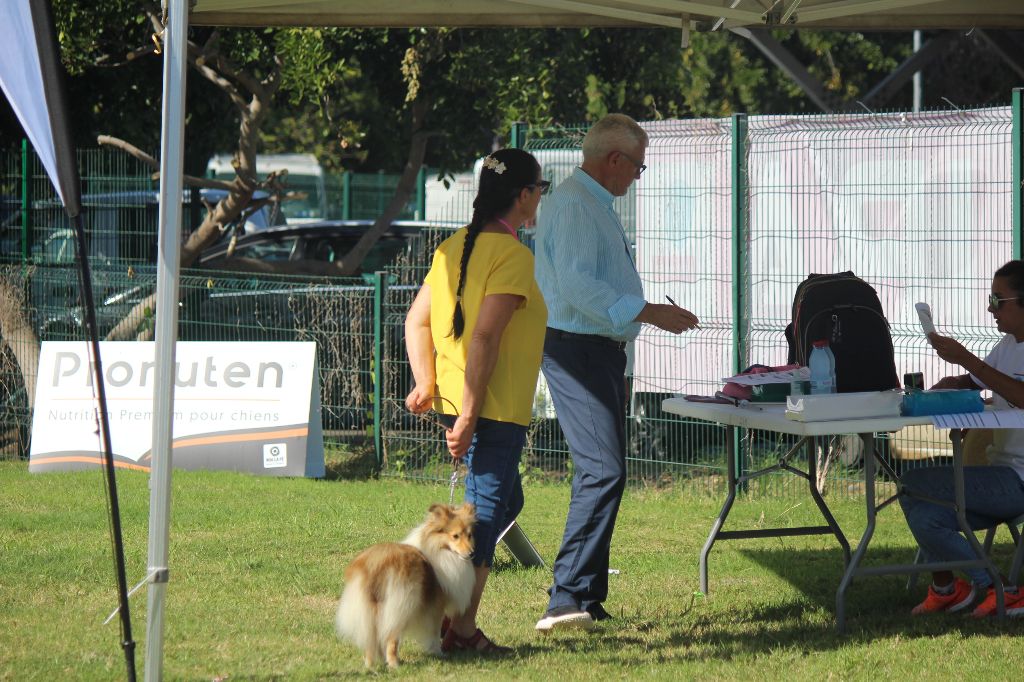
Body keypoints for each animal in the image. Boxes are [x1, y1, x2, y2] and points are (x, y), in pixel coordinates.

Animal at [337, 499, 477, 663]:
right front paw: (438, 652)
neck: (436, 546)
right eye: (455, 536)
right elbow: (435, 633)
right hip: (401, 605)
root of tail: (376, 563)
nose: (472, 553)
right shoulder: (436, 606)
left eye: (469, 535)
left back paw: (371, 664)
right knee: (391, 638)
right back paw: (394, 663)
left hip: (370, 608)